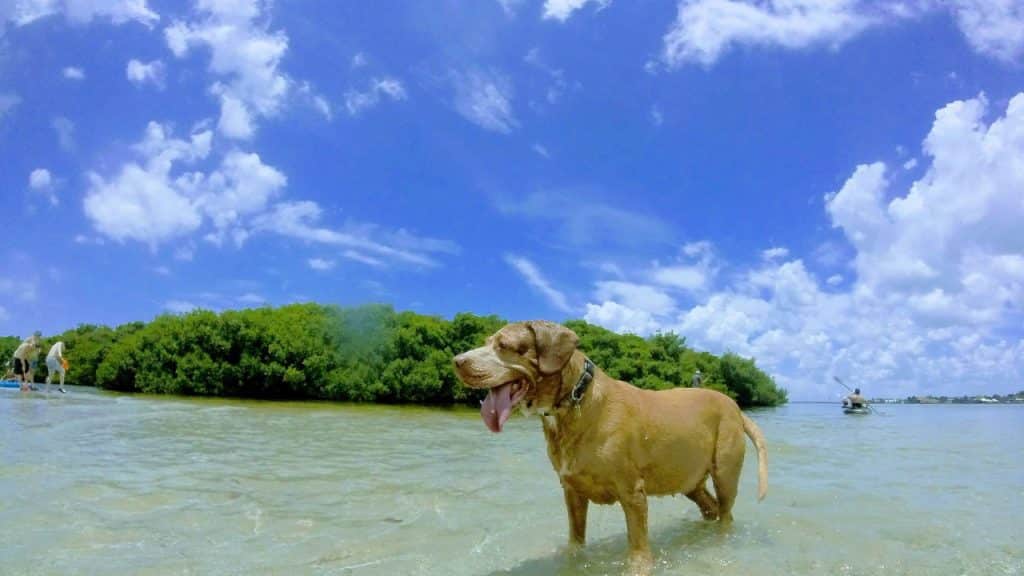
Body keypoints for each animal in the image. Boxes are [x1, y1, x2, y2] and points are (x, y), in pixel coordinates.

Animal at [452, 317, 765, 569]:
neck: (571, 404)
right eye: (486, 342)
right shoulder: (572, 490)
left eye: (504, 344)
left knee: (726, 513)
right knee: (708, 504)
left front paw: (638, 566)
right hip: (687, 476)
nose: (457, 361)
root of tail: (736, 408)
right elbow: (576, 538)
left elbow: (638, 545)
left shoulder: (632, 492)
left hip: (725, 469)